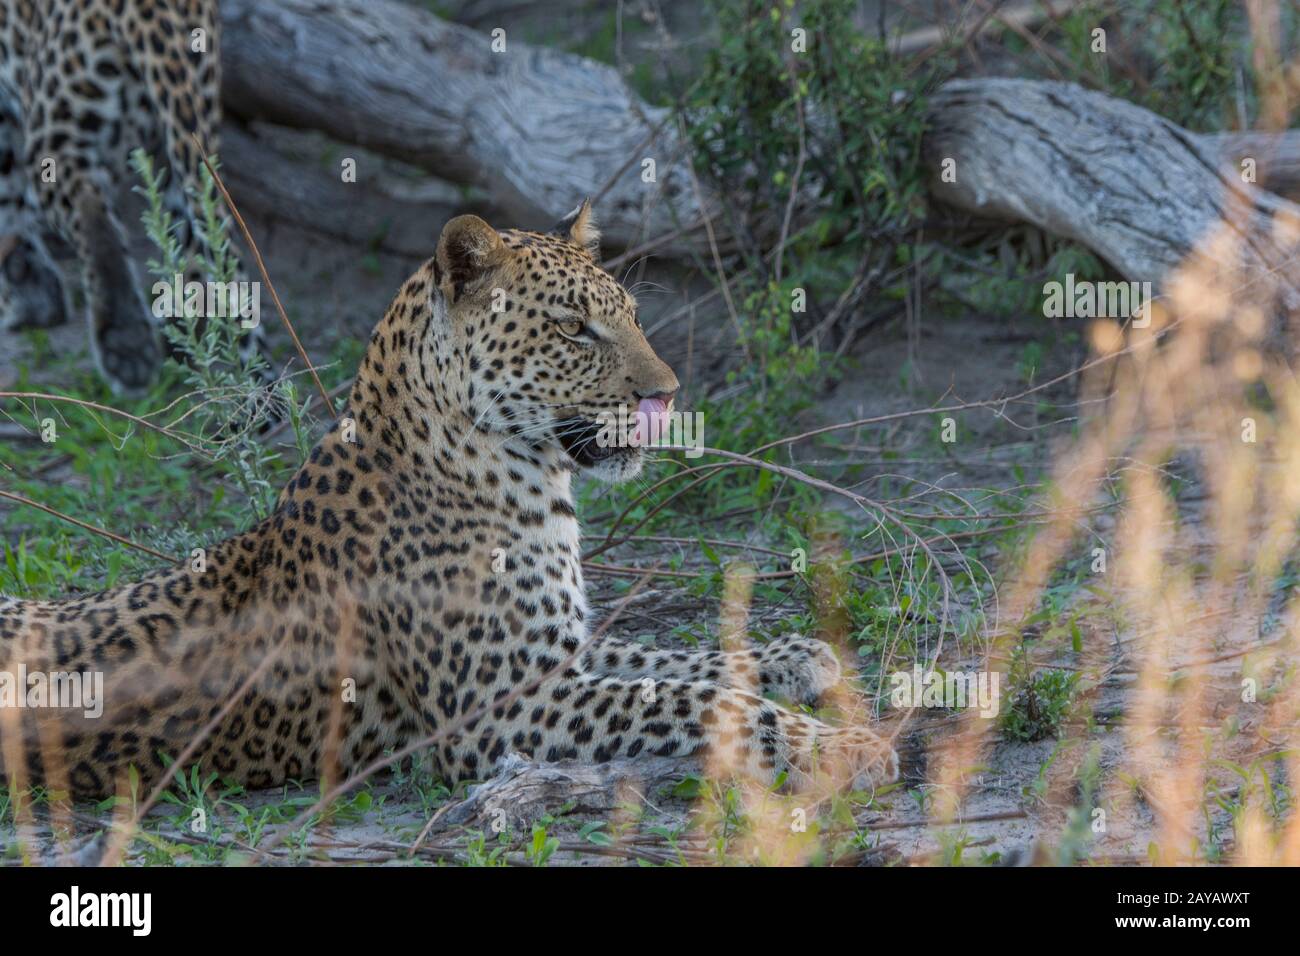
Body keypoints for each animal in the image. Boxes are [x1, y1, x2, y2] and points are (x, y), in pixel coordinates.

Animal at [0, 0, 265, 393]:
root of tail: (154, 11)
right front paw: (30, 287)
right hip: (179, 137)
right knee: (196, 242)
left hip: (61, 120)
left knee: (89, 207)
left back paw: (125, 344)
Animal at [0, 202, 899, 801]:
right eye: (574, 329)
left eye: (631, 316)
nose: (668, 394)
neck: (521, 480)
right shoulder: (502, 710)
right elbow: (702, 698)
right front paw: (845, 745)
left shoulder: (557, 659)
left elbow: (676, 660)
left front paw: (796, 656)